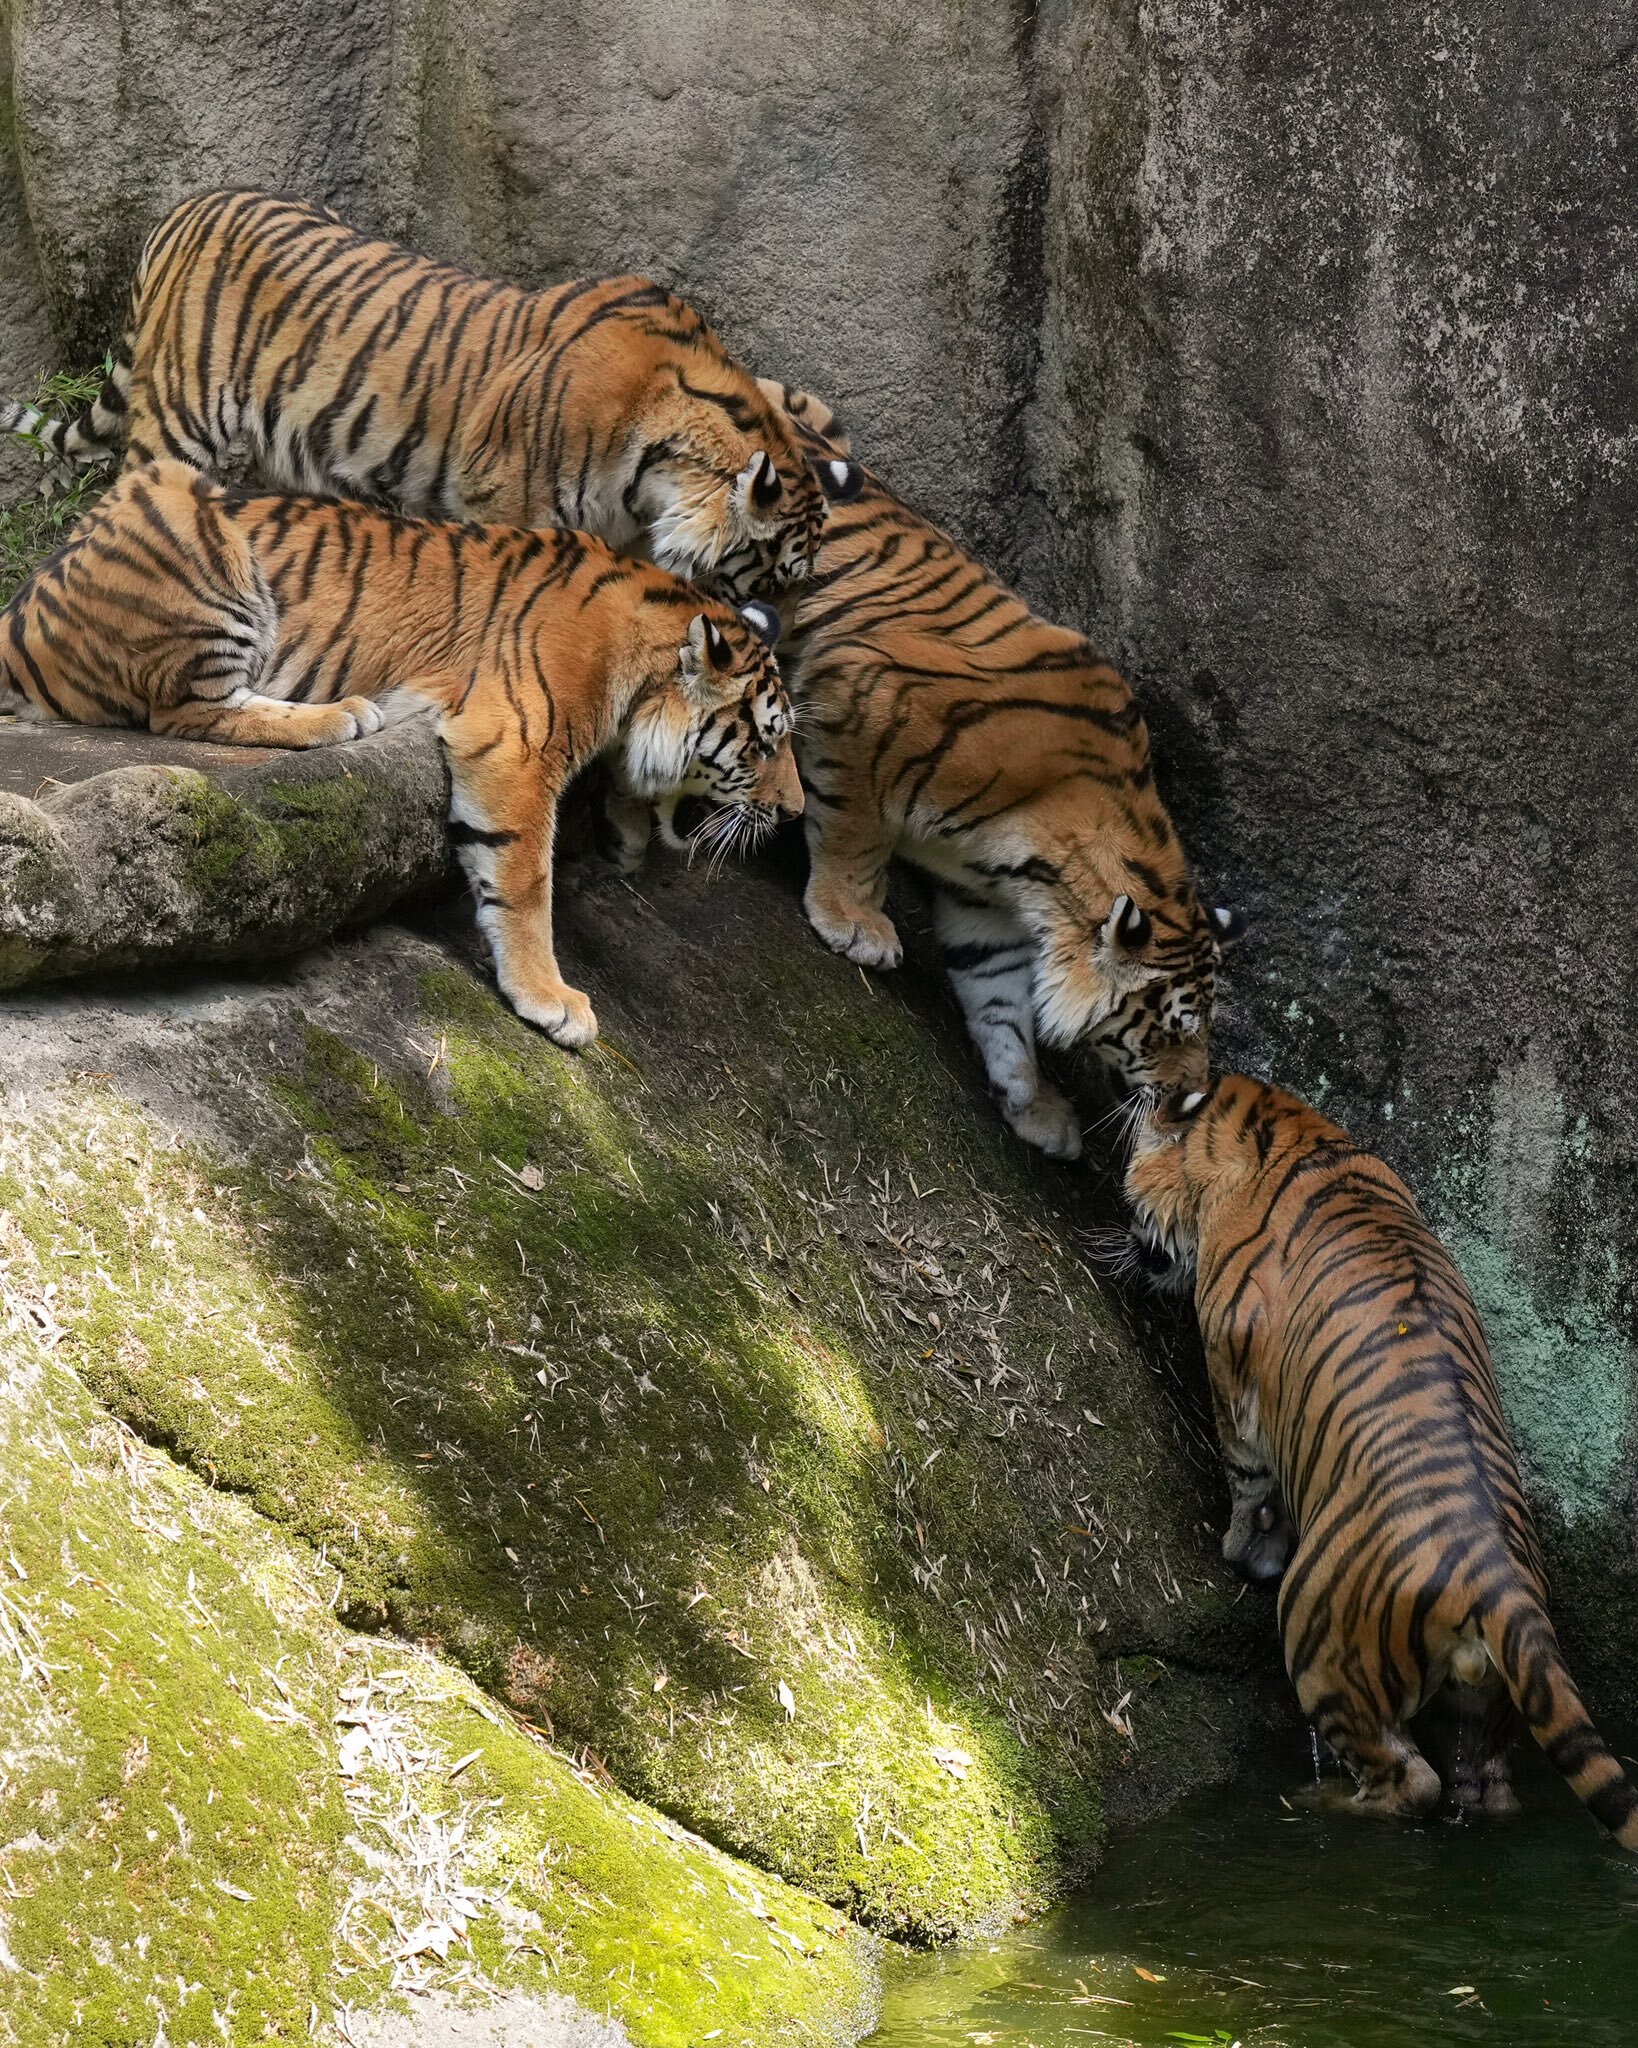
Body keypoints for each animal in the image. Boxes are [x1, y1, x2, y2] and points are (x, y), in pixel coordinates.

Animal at [0, 189, 839, 606]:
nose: (776, 627)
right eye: (778, 574)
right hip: (177, 420)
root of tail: (190, 205)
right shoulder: (507, 499)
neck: (652, 481)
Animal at [0, 456, 798, 1048]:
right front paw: (549, 998)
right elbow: (524, 882)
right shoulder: (516, 743)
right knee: (186, 711)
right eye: (764, 742)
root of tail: (20, 610)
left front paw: (628, 829)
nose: (791, 815)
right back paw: (340, 717)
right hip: (194, 547)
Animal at [728, 380, 1244, 1155]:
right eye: (1173, 1026)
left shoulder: (987, 909)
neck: (1032, 870)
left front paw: (1035, 1106)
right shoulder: (866, 694)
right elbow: (856, 834)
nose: (1191, 1103)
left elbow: (1003, 1009)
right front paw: (853, 921)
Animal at [1130, 1073, 1637, 1843]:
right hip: (1487, 1707)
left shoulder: (1229, 1357)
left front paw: (1242, 1549)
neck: (1285, 1126)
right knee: (1481, 1781)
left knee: (1408, 1779)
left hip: (1321, 1642)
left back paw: (1322, 1803)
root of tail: (1500, 1582)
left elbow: (1246, 1472)